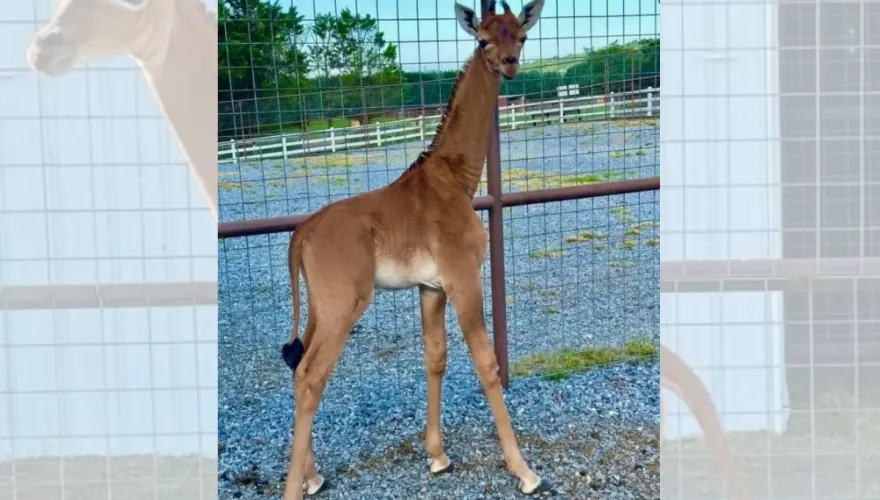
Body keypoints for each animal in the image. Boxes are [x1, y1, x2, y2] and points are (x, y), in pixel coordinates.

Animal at [277, 2, 550, 499]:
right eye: (483, 39)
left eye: (520, 36)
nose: (509, 64)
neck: (457, 180)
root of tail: (302, 232)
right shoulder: (463, 278)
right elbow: (487, 364)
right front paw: (523, 470)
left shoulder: (431, 287)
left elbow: (435, 357)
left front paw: (438, 455)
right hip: (344, 304)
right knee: (310, 375)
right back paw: (296, 484)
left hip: (320, 306)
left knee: (296, 362)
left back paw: (312, 475)